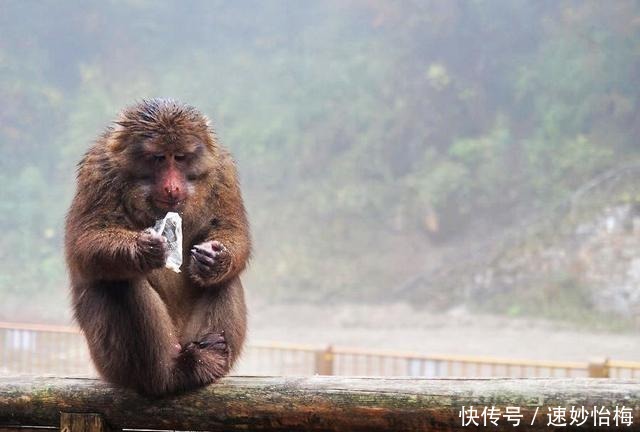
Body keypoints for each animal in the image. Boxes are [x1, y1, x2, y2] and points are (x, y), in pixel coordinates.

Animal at [65, 99, 250, 396]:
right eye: (159, 158)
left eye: (181, 157)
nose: (172, 187)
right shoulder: (98, 171)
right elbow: (86, 241)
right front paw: (142, 250)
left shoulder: (223, 170)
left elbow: (231, 229)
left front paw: (215, 259)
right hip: (110, 362)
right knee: (121, 281)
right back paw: (171, 372)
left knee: (224, 281)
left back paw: (208, 354)